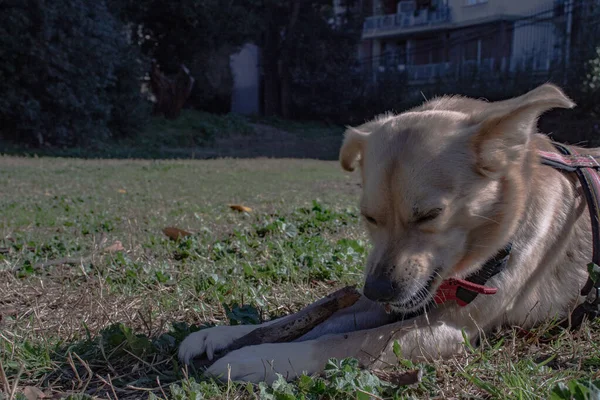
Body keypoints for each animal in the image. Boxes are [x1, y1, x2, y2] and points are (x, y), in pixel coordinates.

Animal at [177, 84, 592, 384]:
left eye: (430, 215)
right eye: (369, 217)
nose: (376, 290)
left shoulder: (451, 330)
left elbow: (340, 342)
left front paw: (256, 358)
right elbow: (312, 321)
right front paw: (223, 334)